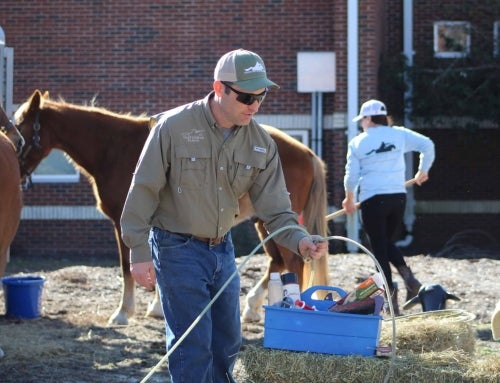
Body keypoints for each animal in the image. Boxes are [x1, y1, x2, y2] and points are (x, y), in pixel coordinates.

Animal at [13, 90, 328, 324]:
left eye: (21, 129)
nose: (15, 171)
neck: (114, 149)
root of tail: (307, 153)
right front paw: (156, 307)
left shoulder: (123, 222)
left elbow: (128, 267)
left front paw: (124, 313)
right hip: (264, 221)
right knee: (277, 261)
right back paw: (251, 307)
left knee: (292, 262)